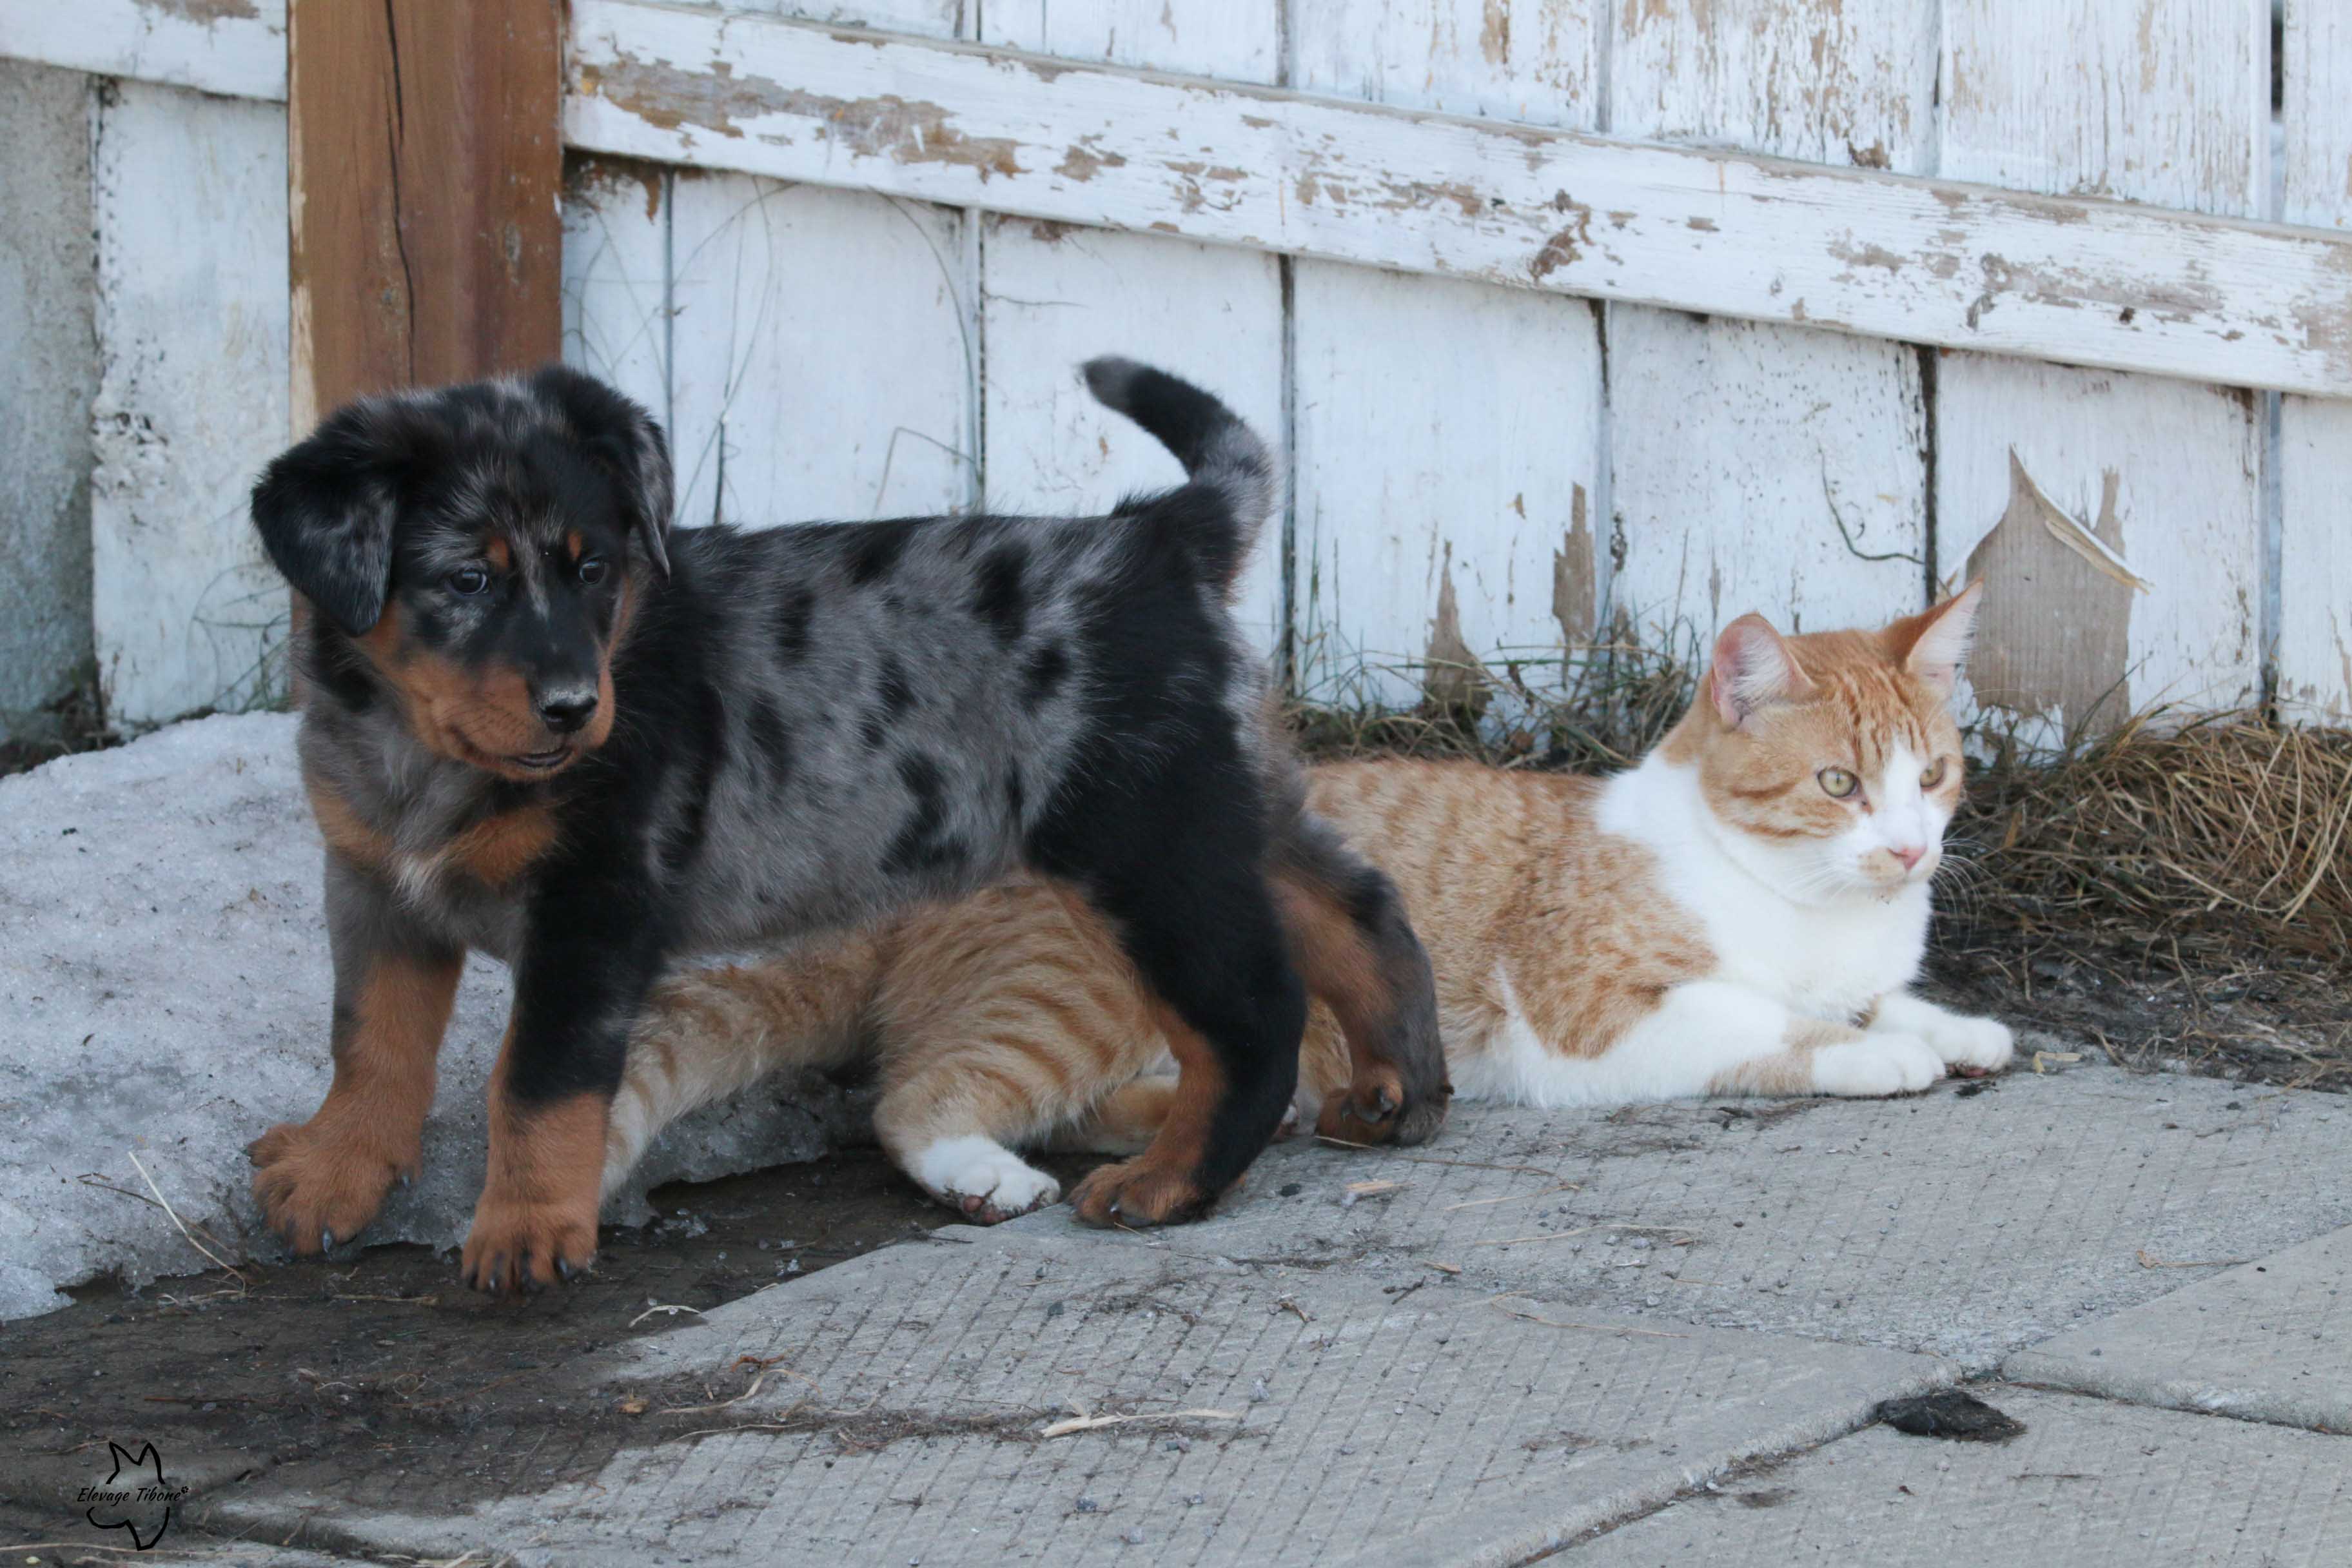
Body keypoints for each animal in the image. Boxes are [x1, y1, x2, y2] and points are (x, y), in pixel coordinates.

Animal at [248, 362, 1439, 1297]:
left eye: (593, 569)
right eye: (466, 578)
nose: (574, 708)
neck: (423, 756)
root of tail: (1155, 536)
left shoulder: (590, 906)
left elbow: (536, 1085)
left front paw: (524, 1233)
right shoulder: (374, 886)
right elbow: (371, 1040)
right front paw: (334, 1175)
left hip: (1147, 843)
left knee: (1251, 1010)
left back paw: (1166, 1183)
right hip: (1226, 805)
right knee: (1361, 908)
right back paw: (1396, 1091)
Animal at [602, 587, 2004, 1222]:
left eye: (1932, 775)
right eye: (1836, 784)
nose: (1907, 848)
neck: (1808, 902)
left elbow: (1887, 1001)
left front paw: (1952, 1030)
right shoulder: (1596, 1021)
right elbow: (1780, 1025)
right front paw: (1878, 1056)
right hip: (1078, 991)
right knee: (919, 1096)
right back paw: (987, 1173)